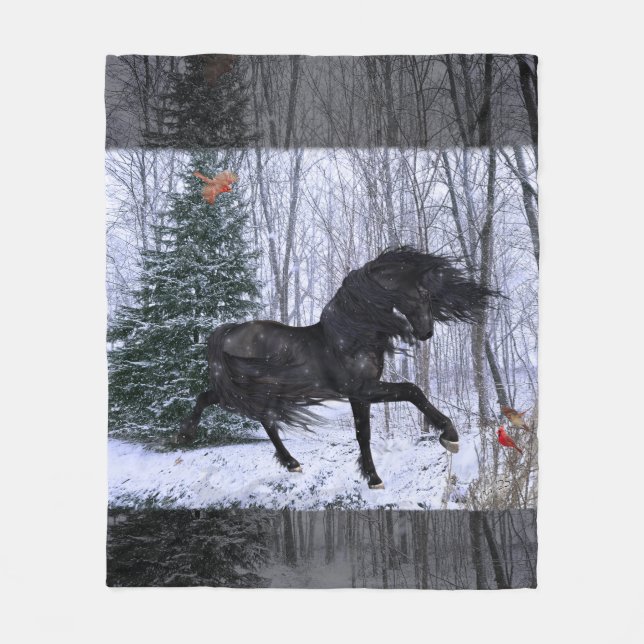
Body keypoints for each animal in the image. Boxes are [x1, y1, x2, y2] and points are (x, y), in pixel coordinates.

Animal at [178, 246, 497, 489]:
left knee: (259, 418)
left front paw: (372, 478)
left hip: (260, 390)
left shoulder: (360, 396)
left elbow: (363, 434)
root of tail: (228, 331)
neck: (353, 334)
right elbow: (412, 390)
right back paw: (184, 436)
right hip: (247, 388)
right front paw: (449, 435)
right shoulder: (364, 389)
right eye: (422, 293)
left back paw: (290, 463)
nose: (426, 333)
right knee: (218, 402)